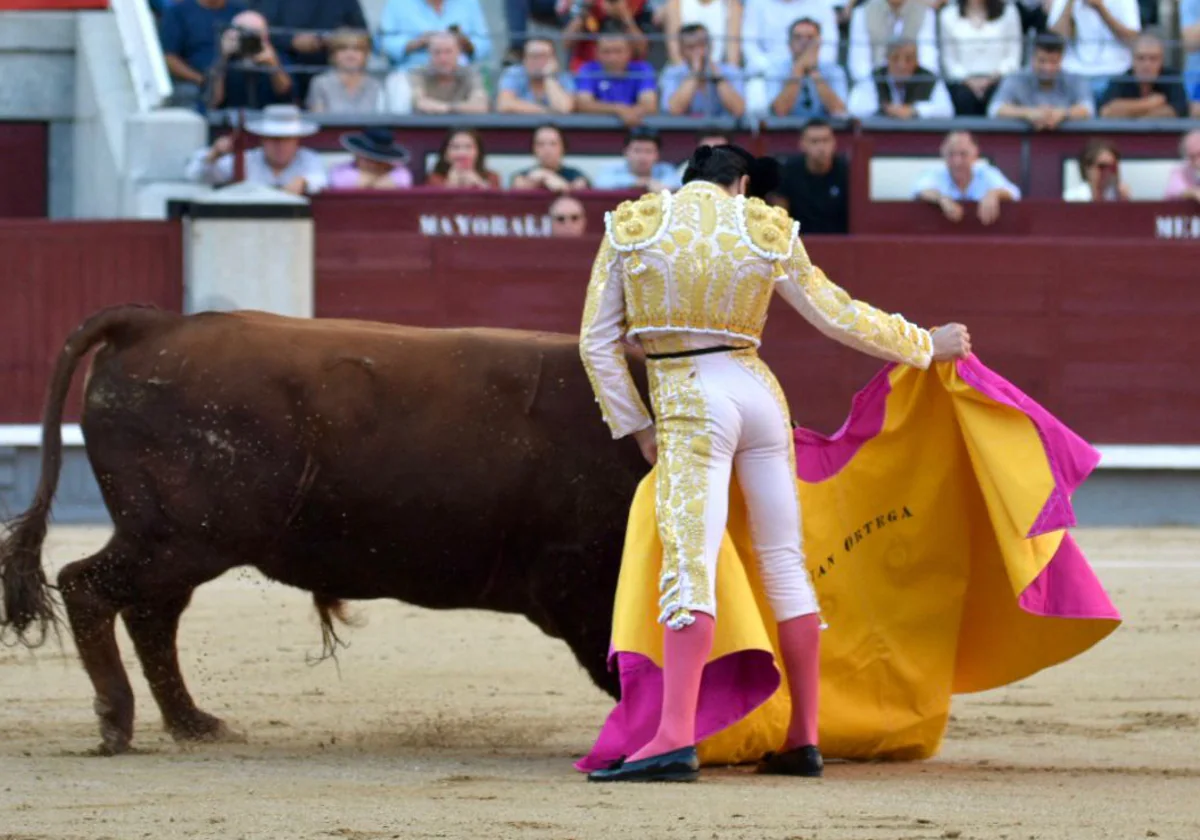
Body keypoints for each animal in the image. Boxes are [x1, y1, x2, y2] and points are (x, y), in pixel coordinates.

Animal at [0, 307, 648, 753]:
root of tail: (155, 323)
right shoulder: (580, 578)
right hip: (177, 539)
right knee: (88, 585)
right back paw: (117, 719)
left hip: (178, 543)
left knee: (148, 615)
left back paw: (194, 723)